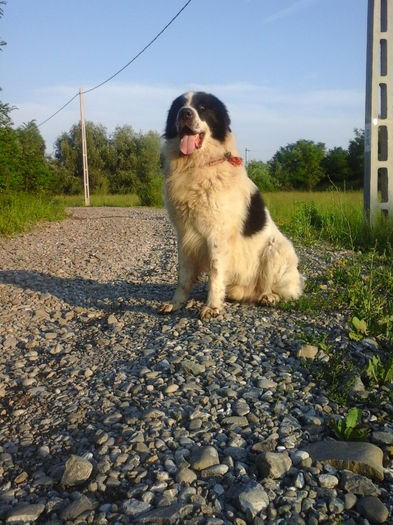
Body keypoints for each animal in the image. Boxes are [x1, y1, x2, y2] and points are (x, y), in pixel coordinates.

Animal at [158, 91, 302, 318]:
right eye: (179, 107)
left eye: (202, 107)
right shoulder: (184, 236)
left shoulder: (217, 236)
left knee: (282, 291)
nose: (185, 114)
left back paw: (269, 297)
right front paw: (176, 303)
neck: (197, 165)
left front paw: (212, 306)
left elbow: (215, 273)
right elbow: (183, 276)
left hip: (275, 249)